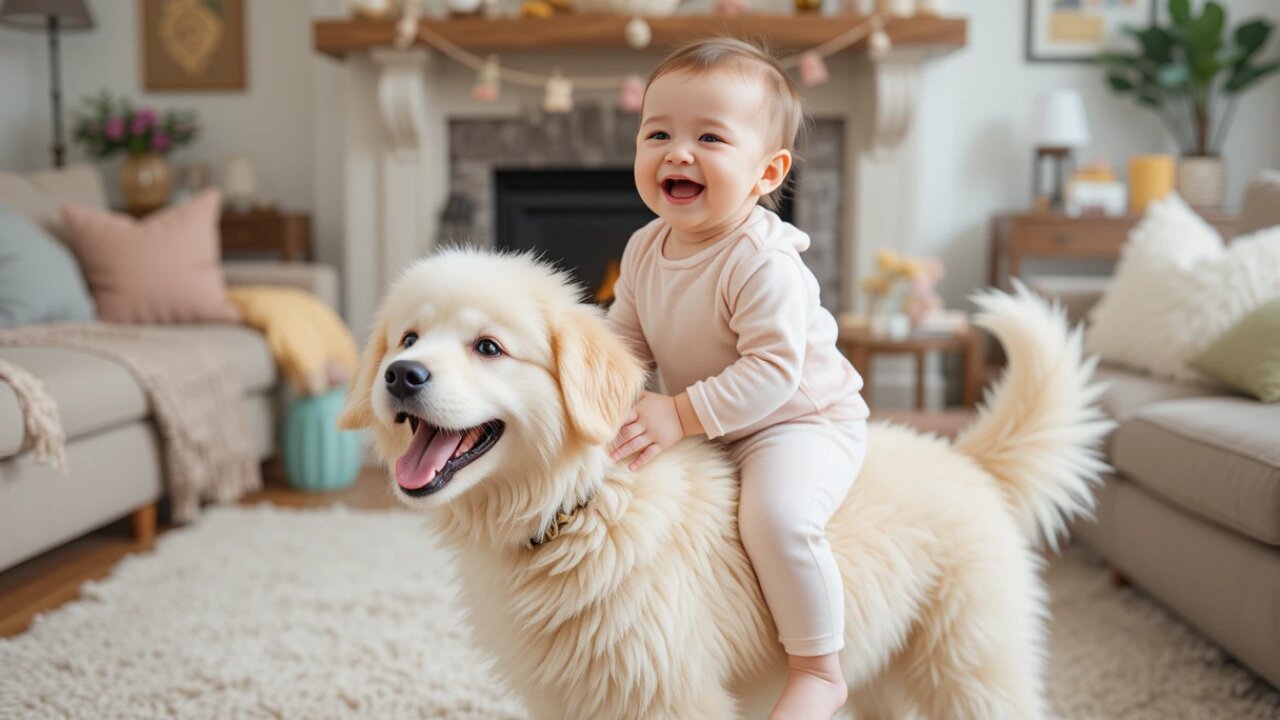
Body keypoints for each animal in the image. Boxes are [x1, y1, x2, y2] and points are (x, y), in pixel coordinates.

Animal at [340, 248, 1111, 717]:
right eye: (408, 338)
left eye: (489, 347)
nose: (401, 376)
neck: (582, 507)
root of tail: (969, 462)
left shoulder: (671, 696)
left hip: (972, 665)